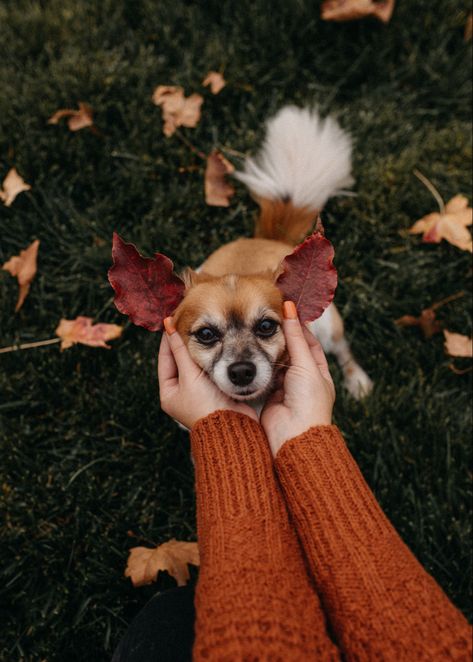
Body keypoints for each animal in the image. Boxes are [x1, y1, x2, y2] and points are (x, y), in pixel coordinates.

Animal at [171, 106, 372, 402]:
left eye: (266, 327)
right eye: (206, 334)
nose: (242, 371)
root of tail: (268, 238)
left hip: (328, 325)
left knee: (342, 347)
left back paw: (357, 380)